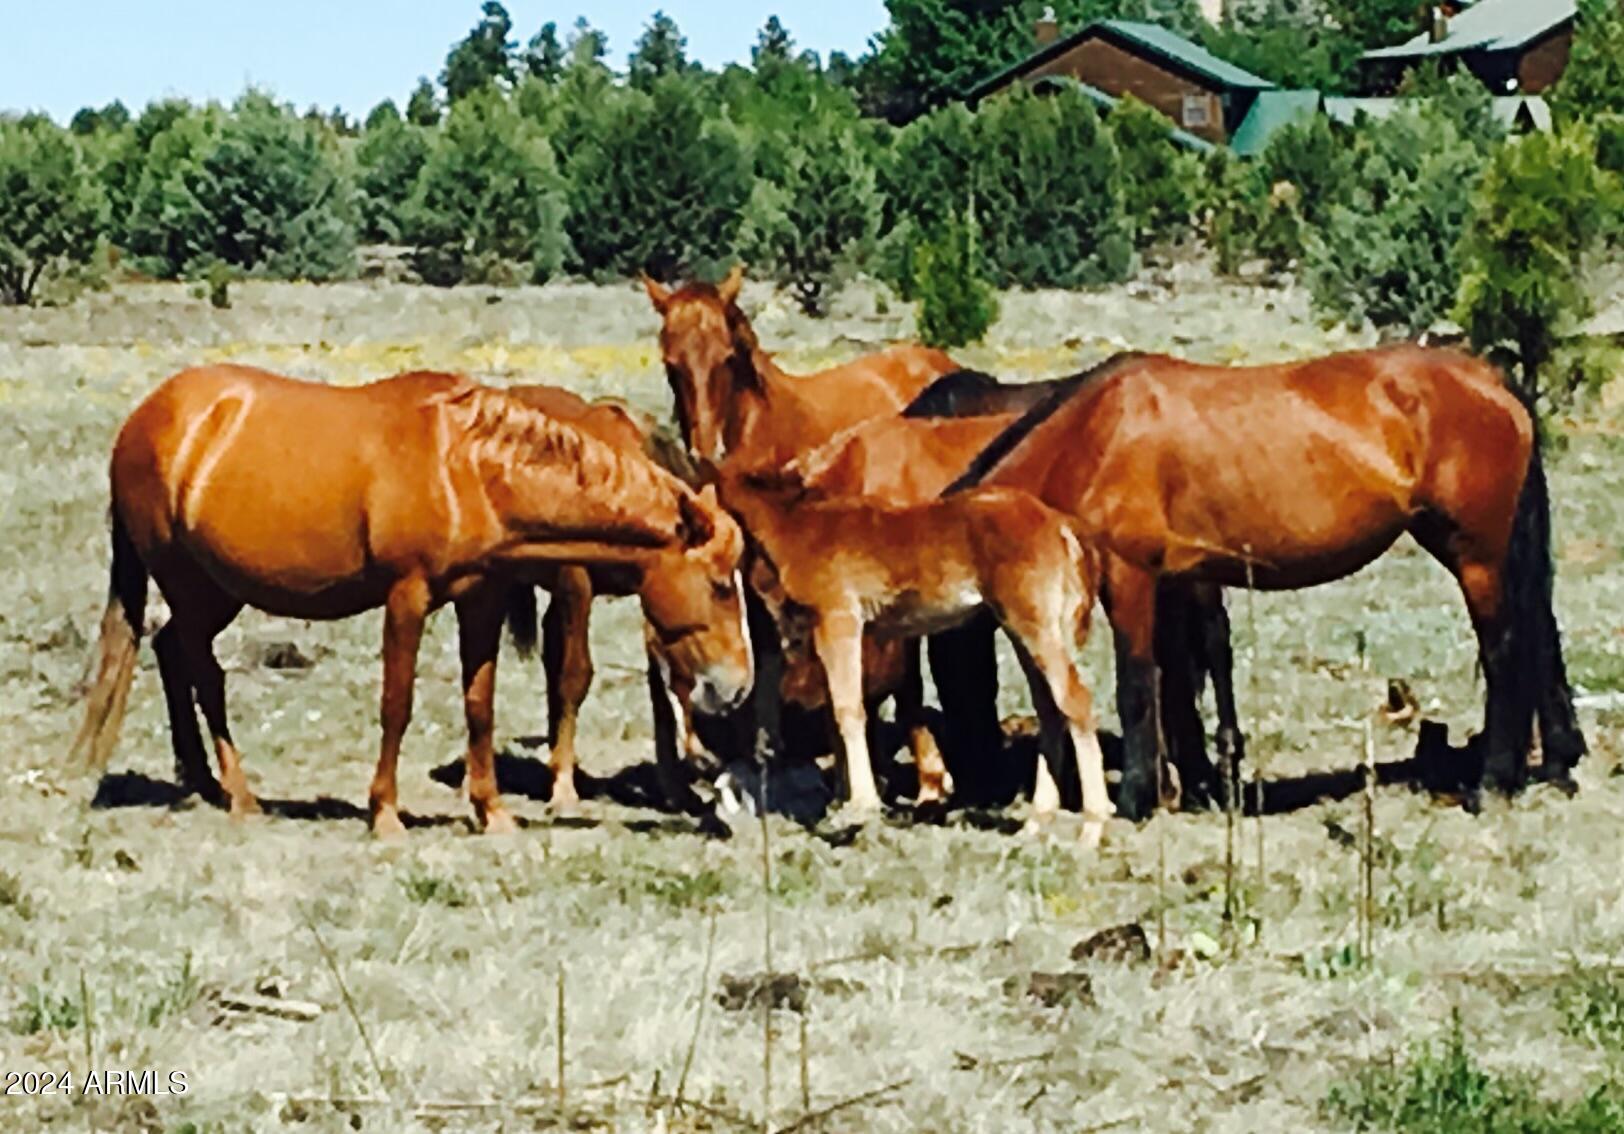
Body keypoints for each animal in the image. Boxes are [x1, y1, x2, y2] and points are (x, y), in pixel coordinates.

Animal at [70, 366, 753, 837]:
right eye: (721, 584)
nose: (738, 685)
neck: (466, 468)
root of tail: (147, 417)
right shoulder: (407, 597)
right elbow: (396, 703)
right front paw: (386, 815)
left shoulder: (481, 599)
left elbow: (480, 705)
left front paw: (491, 810)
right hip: (190, 584)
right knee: (203, 674)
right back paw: (238, 794)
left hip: (219, 589)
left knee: (170, 650)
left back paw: (198, 780)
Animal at [717, 464, 1113, 829]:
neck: (800, 525)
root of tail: (1060, 524)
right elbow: (835, 712)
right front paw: (843, 801)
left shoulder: (838, 620)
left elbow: (848, 710)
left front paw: (861, 806)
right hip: (1031, 631)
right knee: (1051, 710)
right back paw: (1037, 819)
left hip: (1034, 628)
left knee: (1076, 702)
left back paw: (1092, 825)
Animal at [949, 345, 1584, 820]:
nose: (972, 790)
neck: (1092, 435)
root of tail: (1489, 377)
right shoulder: (1176, 581)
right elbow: (1180, 685)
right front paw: (1196, 787)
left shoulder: (1130, 576)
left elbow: (1138, 686)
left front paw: (1133, 800)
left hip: (1477, 558)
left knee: (1504, 655)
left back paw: (1493, 784)